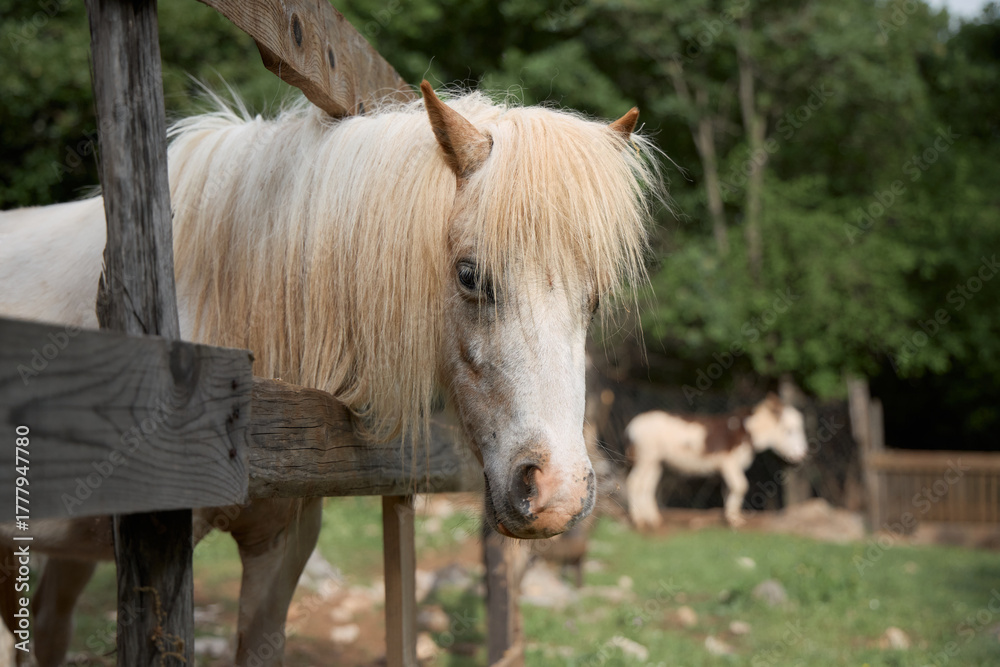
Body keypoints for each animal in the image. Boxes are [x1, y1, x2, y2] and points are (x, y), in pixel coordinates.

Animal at [625, 394, 808, 529]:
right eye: (790, 431)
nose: (803, 455)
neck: (747, 431)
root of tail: (633, 425)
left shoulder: (729, 468)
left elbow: (729, 490)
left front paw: (730, 517)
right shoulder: (729, 463)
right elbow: (741, 486)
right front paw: (735, 521)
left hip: (655, 461)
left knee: (647, 486)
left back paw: (653, 520)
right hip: (645, 457)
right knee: (634, 483)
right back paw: (638, 521)